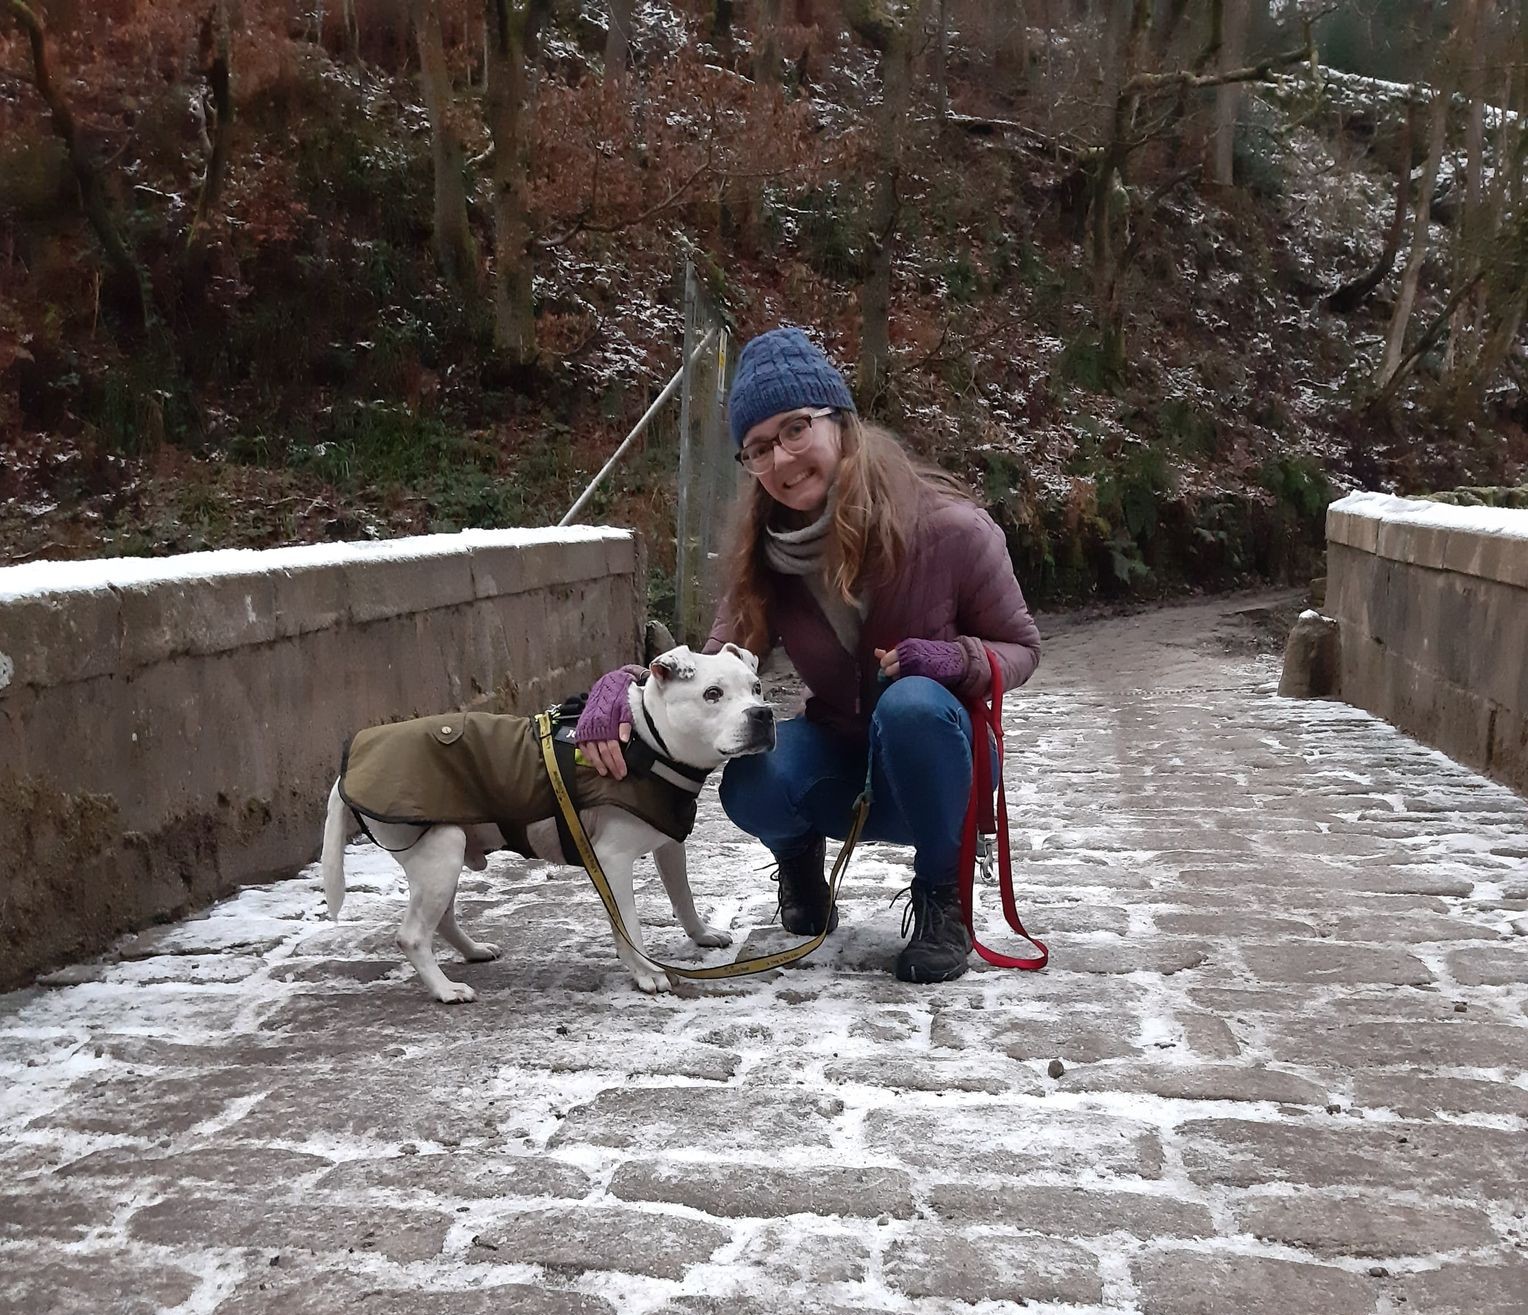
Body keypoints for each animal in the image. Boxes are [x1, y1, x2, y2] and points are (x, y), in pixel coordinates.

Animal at [320, 644, 776, 995]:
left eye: (755, 687)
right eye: (712, 694)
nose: (763, 714)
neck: (648, 742)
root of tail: (349, 766)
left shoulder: (669, 845)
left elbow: (683, 898)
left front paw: (702, 935)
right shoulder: (611, 861)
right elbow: (629, 927)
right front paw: (647, 974)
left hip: (443, 858)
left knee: (442, 919)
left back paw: (472, 952)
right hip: (440, 855)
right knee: (413, 935)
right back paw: (445, 990)